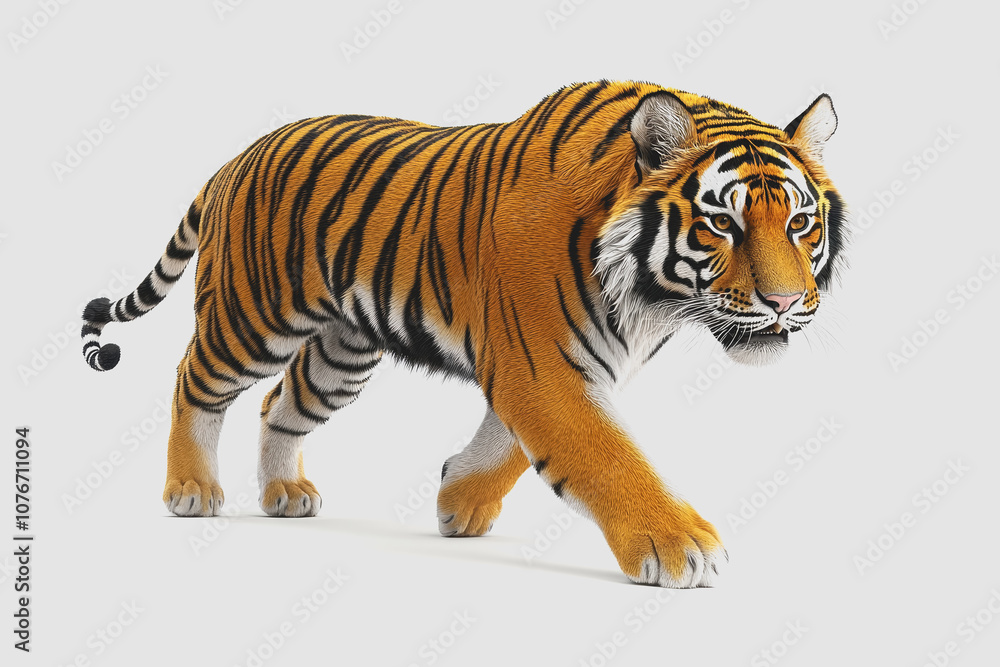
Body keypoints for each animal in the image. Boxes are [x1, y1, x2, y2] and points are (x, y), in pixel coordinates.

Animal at [81, 80, 845, 588]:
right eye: (724, 223)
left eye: (799, 223)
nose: (785, 303)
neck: (653, 301)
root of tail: (233, 158)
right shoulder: (542, 363)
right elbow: (606, 454)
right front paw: (679, 542)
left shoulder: (559, 362)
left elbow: (512, 444)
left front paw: (458, 503)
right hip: (252, 319)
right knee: (194, 381)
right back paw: (190, 487)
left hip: (341, 352)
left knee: (280, 406)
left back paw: (287, 493)